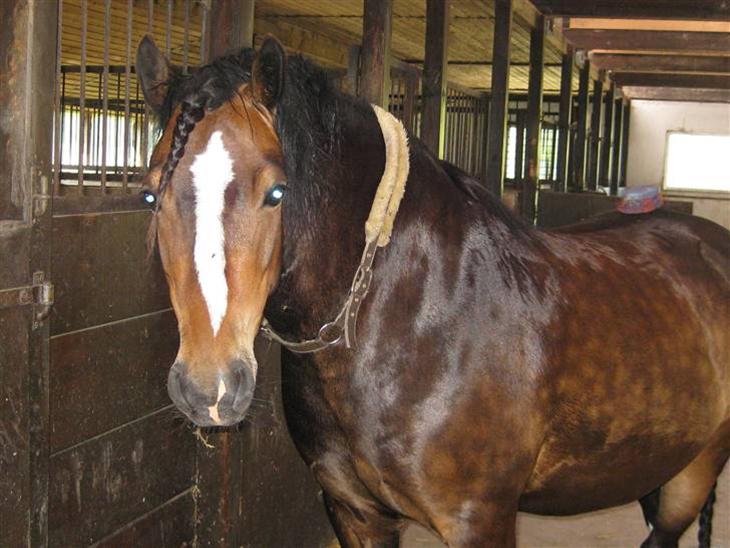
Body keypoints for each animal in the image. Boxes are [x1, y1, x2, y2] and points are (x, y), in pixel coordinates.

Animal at [135, 35, 730, 547]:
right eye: (149, 196)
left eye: (277, 193)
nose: (208, 389)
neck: (411, 315)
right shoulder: (356, 513)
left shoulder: (480, 521)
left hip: (694, 471)